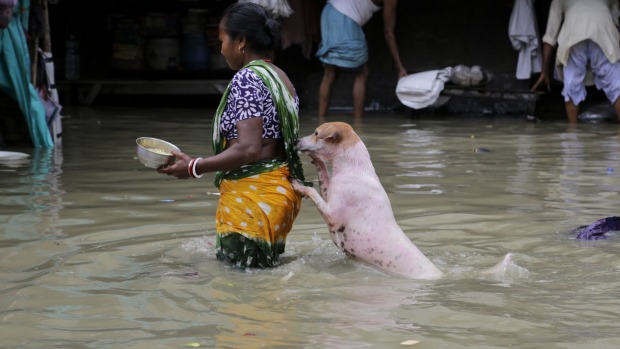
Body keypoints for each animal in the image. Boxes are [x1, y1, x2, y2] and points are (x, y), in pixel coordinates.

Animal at [292, 121, 446, 278]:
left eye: (316, 133)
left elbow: (312, 191)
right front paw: (317, 160)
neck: (353, 168)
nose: (295, 141)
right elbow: (323, 175)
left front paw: (298, 185)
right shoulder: (328, 195)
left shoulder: (332, 217)